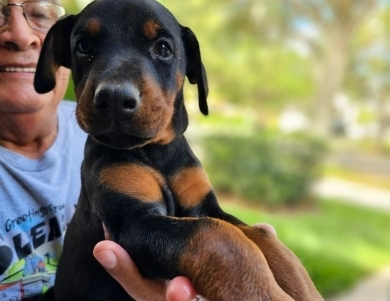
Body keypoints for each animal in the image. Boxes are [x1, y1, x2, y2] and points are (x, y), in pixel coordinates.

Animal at [34, 0, 322, 300]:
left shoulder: (206, 206)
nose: (114, 98)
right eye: (83, 46)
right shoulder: (133, 221)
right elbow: (217, 237)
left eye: (163, 48)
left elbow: (263, 239)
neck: (155, 152)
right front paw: (264, 292)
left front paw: (304, 289)